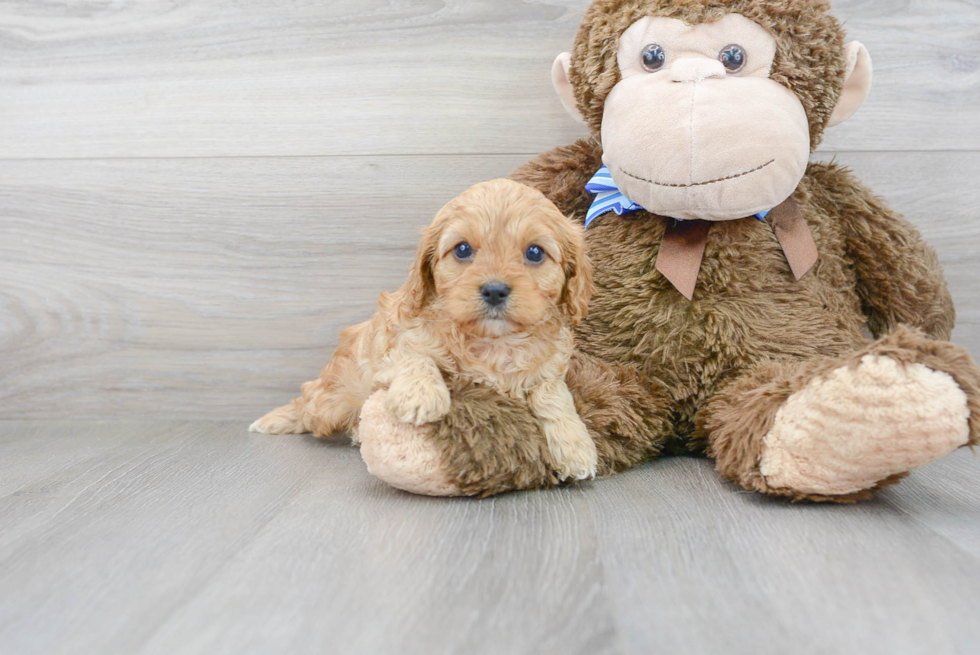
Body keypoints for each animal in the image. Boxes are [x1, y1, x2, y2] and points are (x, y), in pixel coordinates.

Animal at [249, 179, 600, 482]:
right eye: (462, 250)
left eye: (535, 252)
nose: (495, 290)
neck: (494, 342)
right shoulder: (396, 347)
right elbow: (416, 357)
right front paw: (420, 398)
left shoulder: (549, 369)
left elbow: (554, 396)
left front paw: (576, 447)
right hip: (332, 401)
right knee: (308, 404)